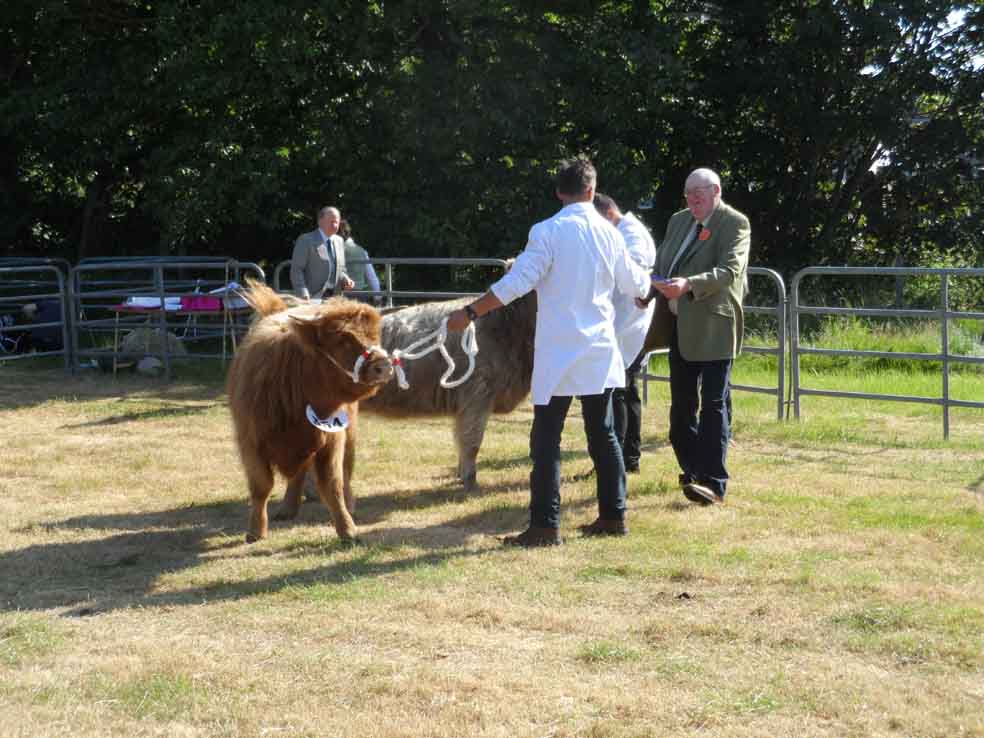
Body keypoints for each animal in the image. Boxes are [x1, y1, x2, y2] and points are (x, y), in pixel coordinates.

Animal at [226, 282, 392, 540]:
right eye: (342, 338)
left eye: (376, 335)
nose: (384, 366)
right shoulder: (250, 442)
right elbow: (261, 486)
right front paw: (256, 531)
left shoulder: (332, 439)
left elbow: (333, 484)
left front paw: (347, 529)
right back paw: (287, 508)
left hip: (350, 433)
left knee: (344, 469)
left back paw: (347, 504)